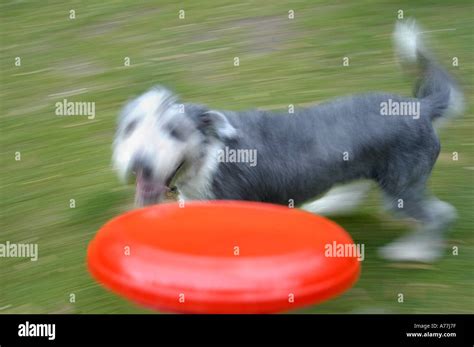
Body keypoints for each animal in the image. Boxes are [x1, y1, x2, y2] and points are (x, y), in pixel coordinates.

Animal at [112, 20, 462, 262]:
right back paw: (328, 204)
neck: (208, 153)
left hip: (402, 184)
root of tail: (420, 107)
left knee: (440, 214)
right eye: (130, 126)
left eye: (174, 131)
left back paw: (415, 251)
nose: (140, 163)